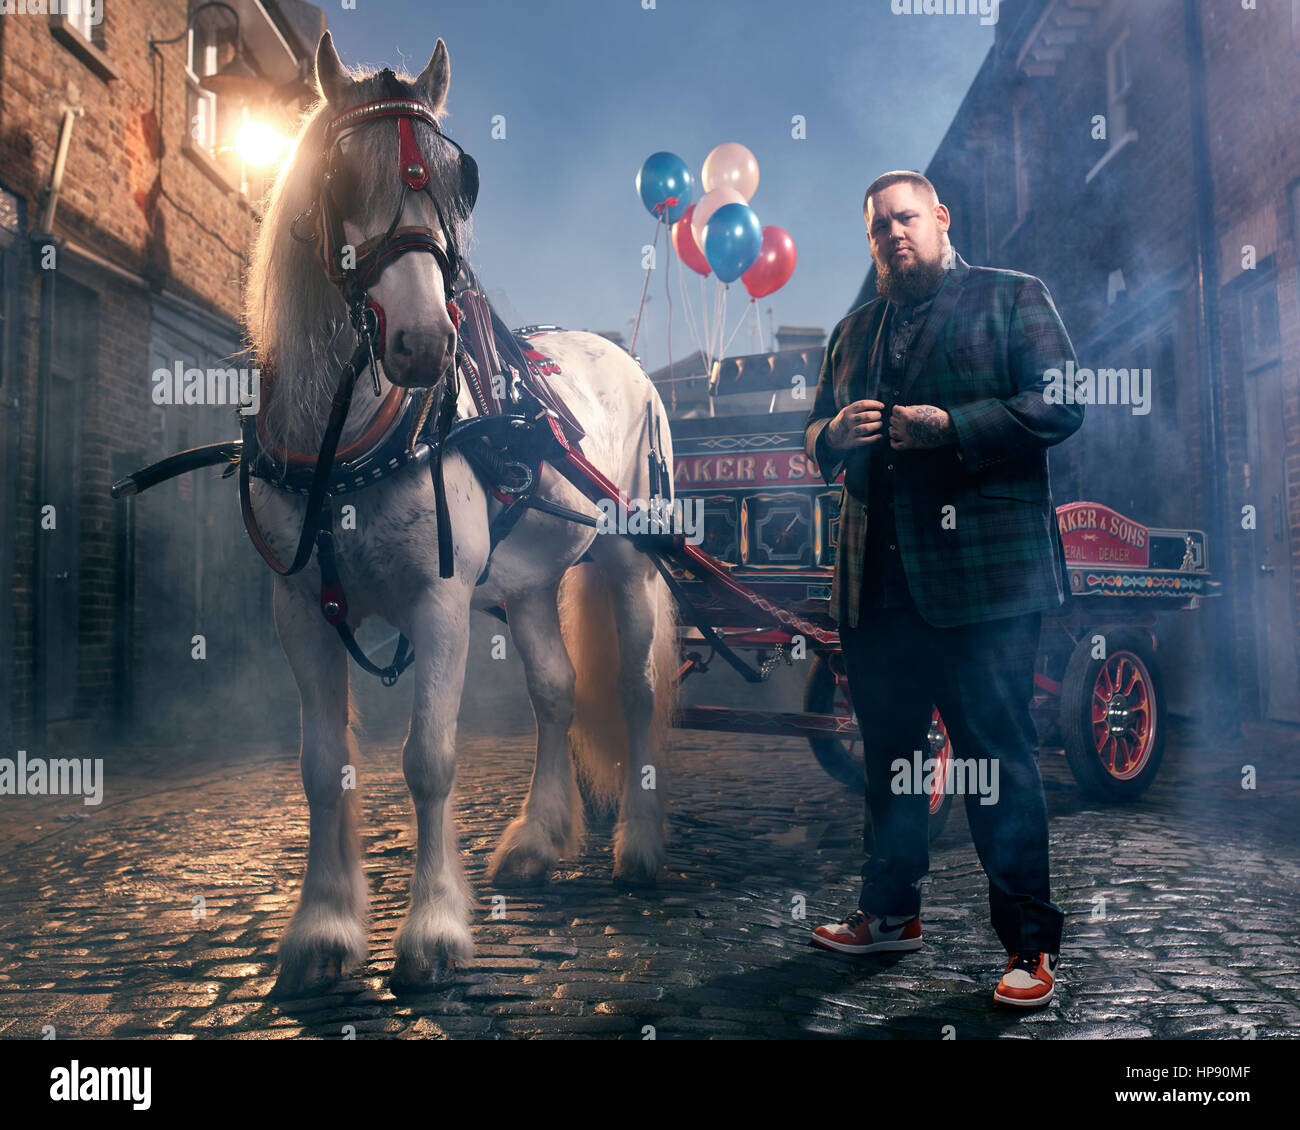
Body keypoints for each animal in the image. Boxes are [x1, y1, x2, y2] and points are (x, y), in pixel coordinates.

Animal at [248, 30, 686, 993]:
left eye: (464, 178)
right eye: (342, 177)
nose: (424, 342)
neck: (351, 440)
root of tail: (623, 358)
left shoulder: (440, 601)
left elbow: (429, 759)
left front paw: (434, 929)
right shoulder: (297, 610)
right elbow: (322, 766)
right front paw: (323, 929)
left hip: (628, 556)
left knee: (633, 690)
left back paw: (639, 846)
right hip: (525, 586)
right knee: (556, 690)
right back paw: (537, 840)